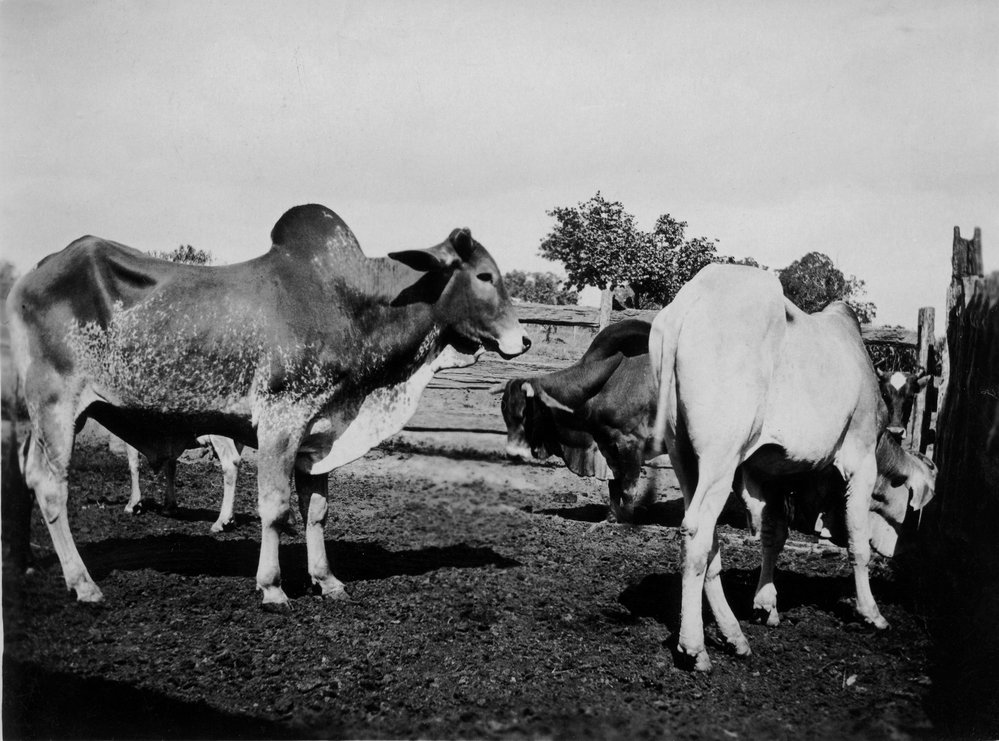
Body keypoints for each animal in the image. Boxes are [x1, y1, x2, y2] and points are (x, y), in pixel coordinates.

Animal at [7, 203, 530, 607]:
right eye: (484, 275)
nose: (523, 339)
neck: (351, 305)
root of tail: (34, 274)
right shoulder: (282, 421)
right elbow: (276, 508)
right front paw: (273, 588)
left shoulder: (320, 434)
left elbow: (316, 511)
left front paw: (326, 579)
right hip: (57, 407)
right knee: (52, 488)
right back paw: (83, 584)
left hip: (32, 416)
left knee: (24, 476)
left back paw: (28, 565)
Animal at [498, 319, 663, 516]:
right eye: (505, 414)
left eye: (524, 413)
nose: (512, 453)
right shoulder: (608, 445)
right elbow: (614, 485)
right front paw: (611, 517)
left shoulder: (631, 443)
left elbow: (628, 489)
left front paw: (626, 520)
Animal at [647, 263, 928, 671]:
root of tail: (686, 307)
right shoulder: (859, 458)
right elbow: (858, 541)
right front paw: (871, 612)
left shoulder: (770, 472)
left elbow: (774, 535)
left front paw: (766, 604)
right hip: (719, 459)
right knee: (696, 534)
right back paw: (695, 647)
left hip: (685, 457)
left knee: (707, 538)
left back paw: (733, 635)